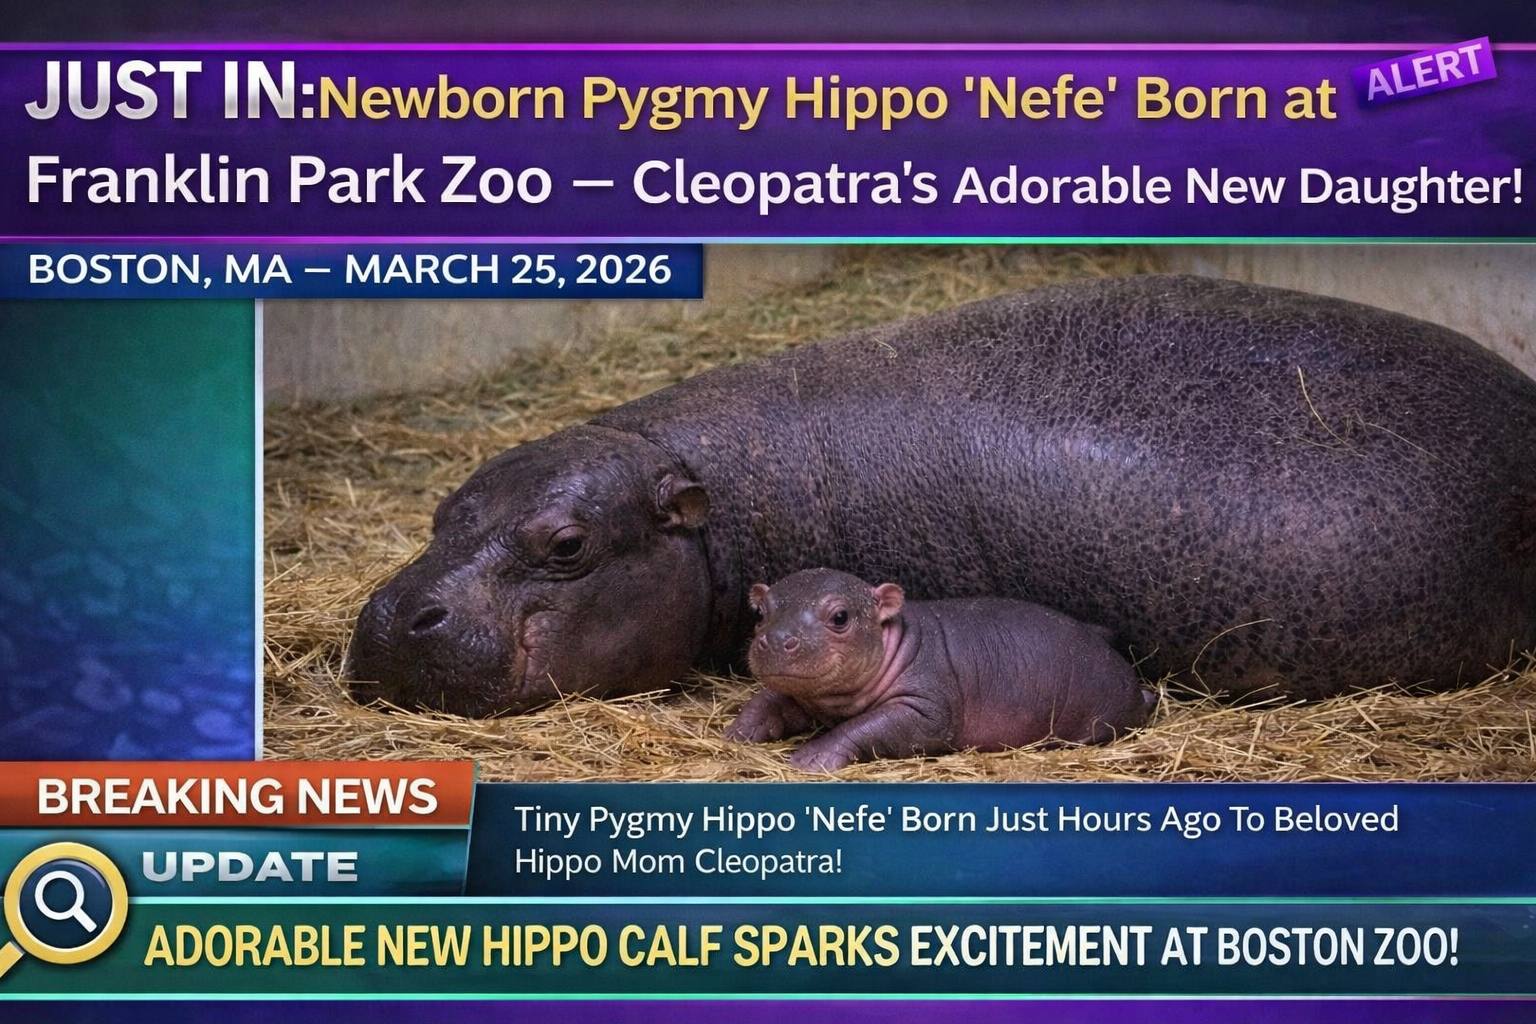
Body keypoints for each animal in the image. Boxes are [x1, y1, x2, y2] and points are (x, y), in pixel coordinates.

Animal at [730, 569, 1154, 771]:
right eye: (761, 612)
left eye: (840, 617)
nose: (776, 639)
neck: (896, 639)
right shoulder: (807, 692)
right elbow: (768, 699)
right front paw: (738, 732)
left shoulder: (926, 708)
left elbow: (865, 726)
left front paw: (810, 758)